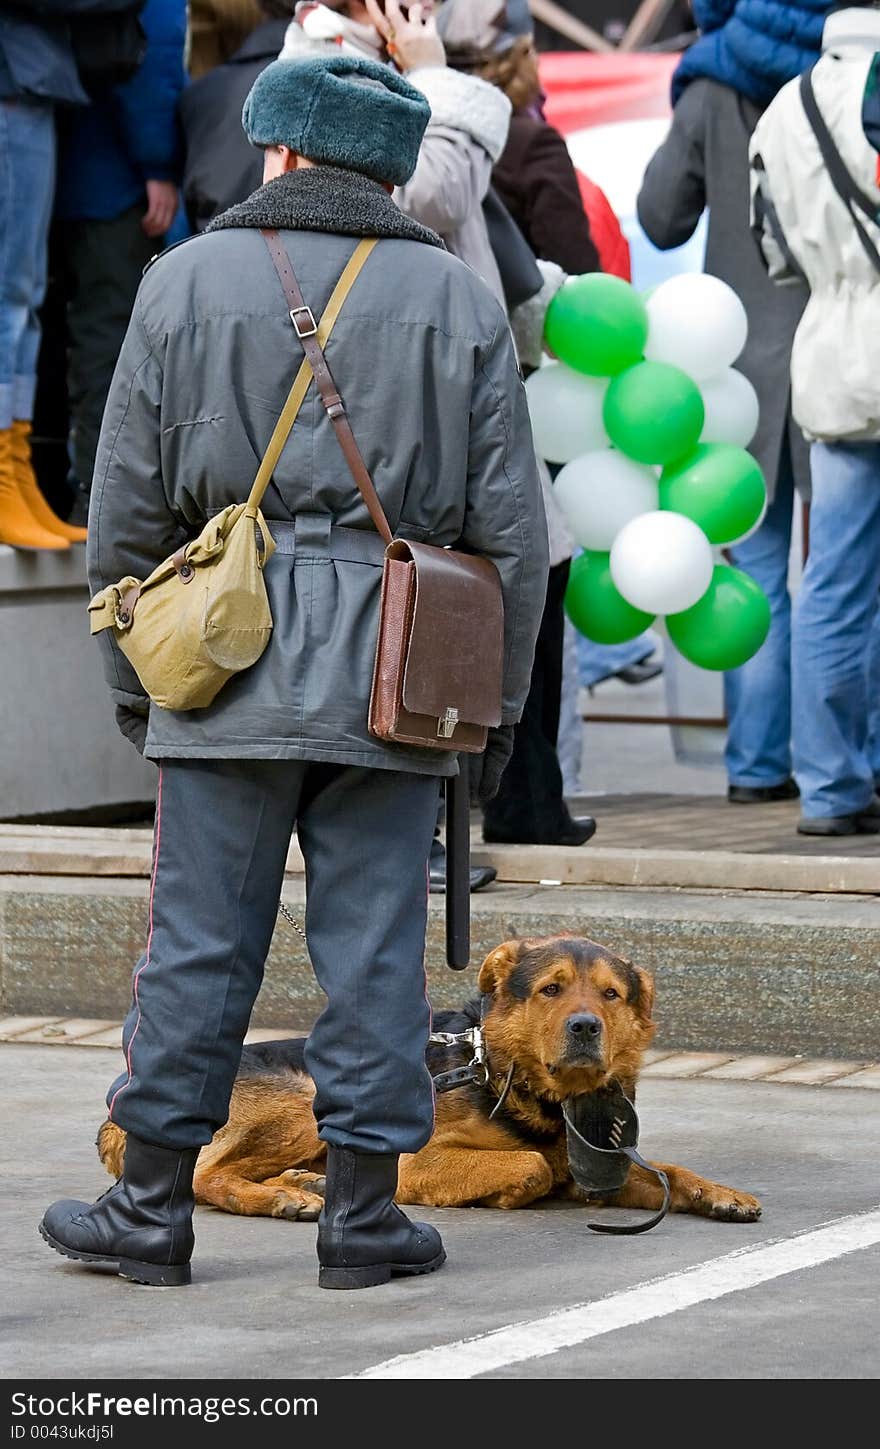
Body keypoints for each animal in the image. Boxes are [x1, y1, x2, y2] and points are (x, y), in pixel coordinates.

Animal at [94, 938, 759, 1222]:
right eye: (552, 989)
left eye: (611, 995)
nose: (585, 1027)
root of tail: (119, 1109)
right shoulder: (420, 1161)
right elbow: (532, 1165)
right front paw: (510, 1192)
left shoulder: (600, 1169)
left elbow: (668, 1172)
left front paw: (719, 1193)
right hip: (305, 1097)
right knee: (203, 1176)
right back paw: (281, 1196)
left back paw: (302, 1182)